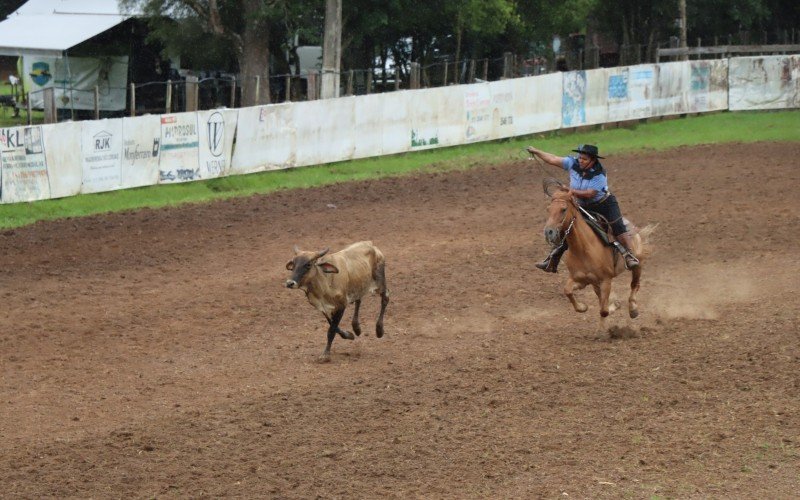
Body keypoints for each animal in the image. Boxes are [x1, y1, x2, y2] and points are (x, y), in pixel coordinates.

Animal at [540, 188, 652, 320]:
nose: (549, 232)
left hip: (637, 265)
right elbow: (567, 290)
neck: (583, 250)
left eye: (563, 209)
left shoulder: (606, 281)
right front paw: (583, 307)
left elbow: (603, 311)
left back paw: (633, 309)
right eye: (548, 209)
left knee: (634, 284)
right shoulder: (581, 279)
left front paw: (614, 306)